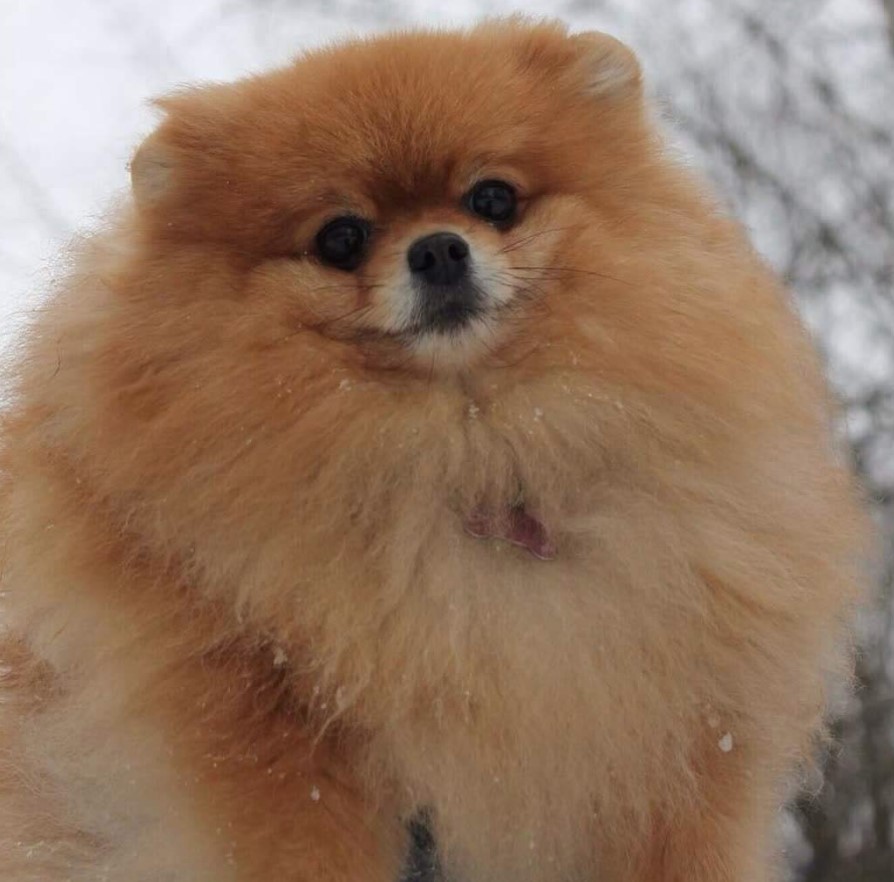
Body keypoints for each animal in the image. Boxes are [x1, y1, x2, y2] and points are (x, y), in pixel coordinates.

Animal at [0, 18, 868, 880]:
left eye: (493, 198)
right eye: (341, 238)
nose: (440, 249)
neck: (471, 459)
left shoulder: (676, 750)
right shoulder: (274, 740)